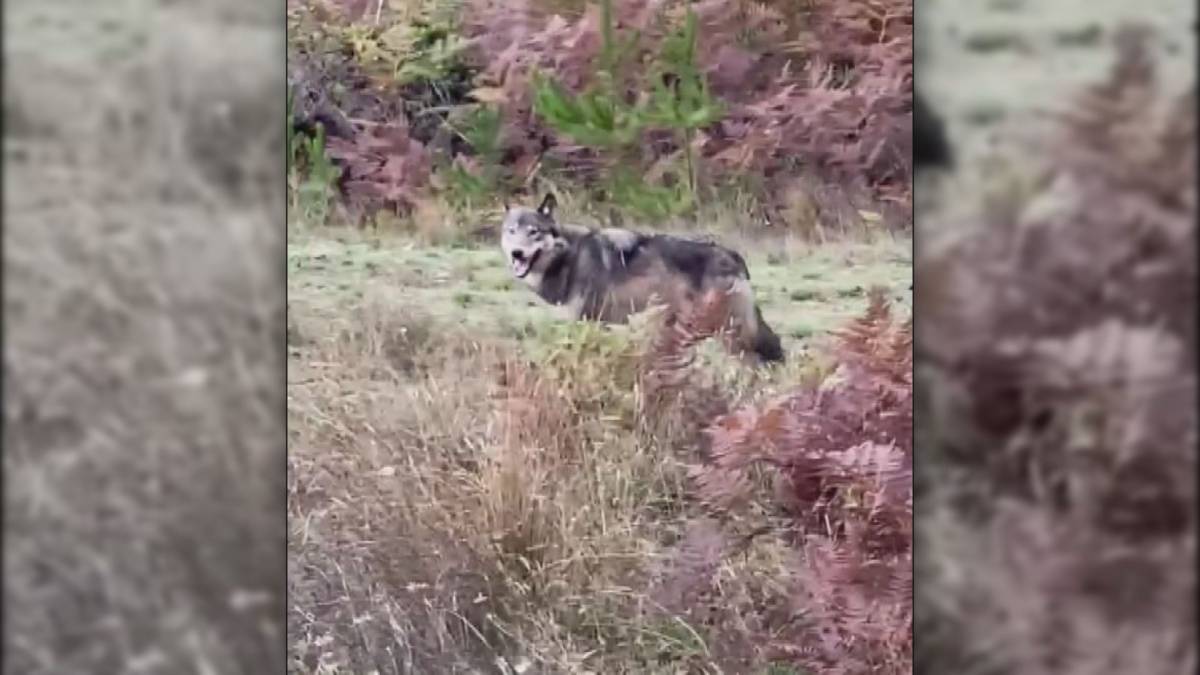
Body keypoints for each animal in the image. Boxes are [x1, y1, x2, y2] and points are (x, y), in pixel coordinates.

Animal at [499, 193, 787, 362]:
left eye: (534, 232)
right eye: (512, 231)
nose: (517, 253)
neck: (570, 256)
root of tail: (734, 256)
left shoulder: (586, 323)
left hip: (728, 335)